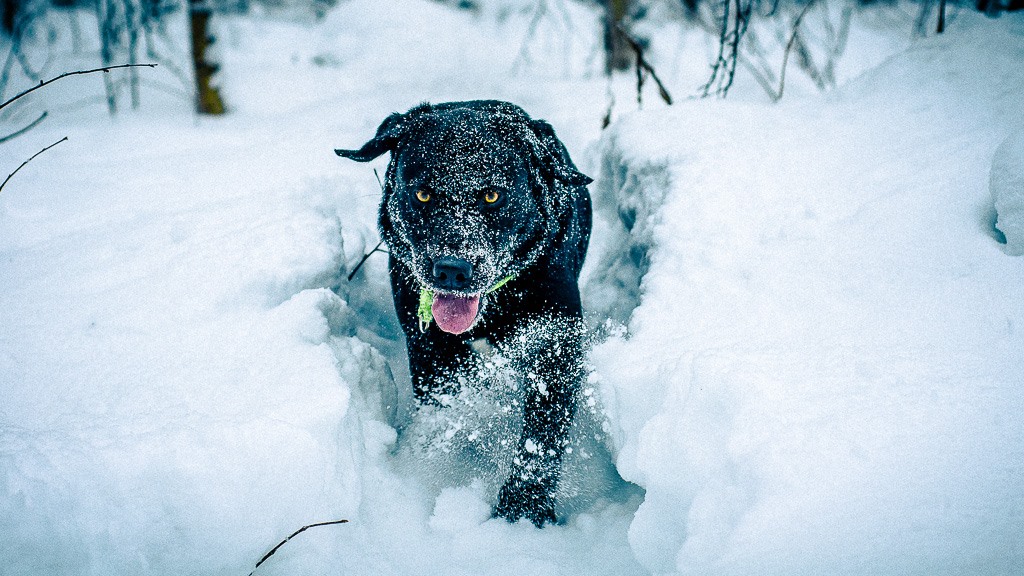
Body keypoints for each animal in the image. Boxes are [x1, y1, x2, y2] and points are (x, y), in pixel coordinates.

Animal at [335, 99, 593, 524]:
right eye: (423, 194)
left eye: (491, 196)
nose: (452, 269)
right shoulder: (430, 353)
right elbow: (448, 413)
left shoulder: (554, 344)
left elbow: (541, 438)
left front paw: (523, 507)